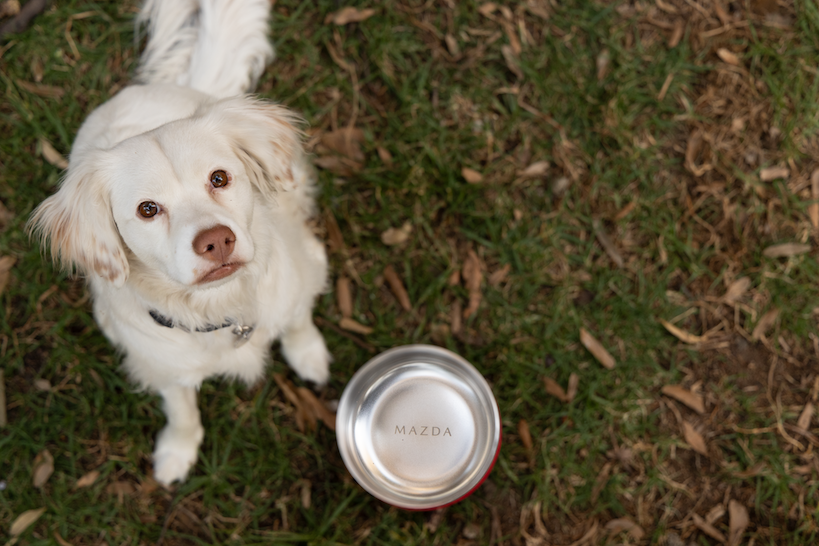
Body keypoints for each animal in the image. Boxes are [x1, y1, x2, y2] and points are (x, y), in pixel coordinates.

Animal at [29, 0, 330, 484]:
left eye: (219, 178)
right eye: (148, 209)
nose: (217, 241)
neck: (220, 311)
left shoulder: (297, 282)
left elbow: (299, 320)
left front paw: (309, 355)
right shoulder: (164, 368)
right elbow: (182, 410)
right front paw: (177, 451)